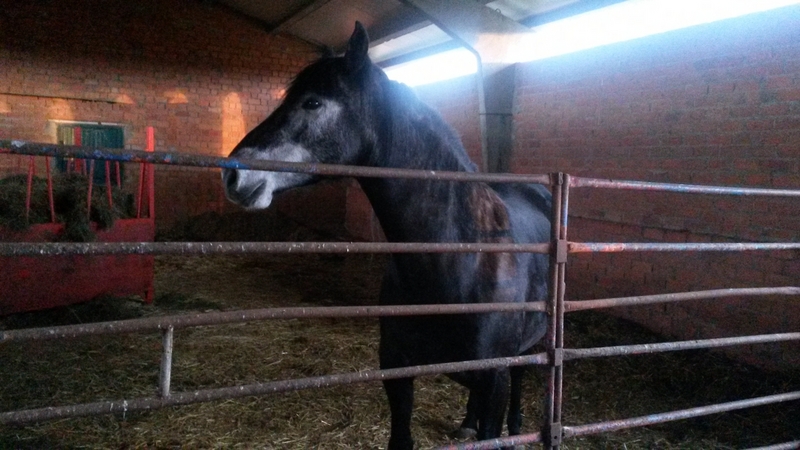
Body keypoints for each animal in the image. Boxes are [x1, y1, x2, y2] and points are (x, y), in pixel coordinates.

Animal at [222, 22, 551, 450]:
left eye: (312, 103)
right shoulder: (396, 368)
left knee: (521, 375)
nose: (233, 175)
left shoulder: (494, 377)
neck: (461, 258)